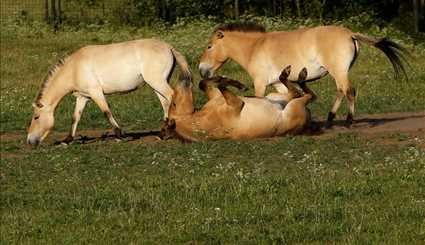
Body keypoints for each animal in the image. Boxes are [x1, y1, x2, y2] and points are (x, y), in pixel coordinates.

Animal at [26, 38, 190, 145]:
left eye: (36, 117)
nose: (29, 141)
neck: (74, 68)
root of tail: (168, 47)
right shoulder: (83, 97)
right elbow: (75, 118)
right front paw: (67, 140)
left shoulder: (96, 93)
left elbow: (106, 112)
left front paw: (120, 135)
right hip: (156, 84)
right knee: (165, 103)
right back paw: (163, 134)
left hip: (157, 82)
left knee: (171, 97)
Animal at [160, 65, 312, 142]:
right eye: (174, 104)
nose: (183, 76)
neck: (203, 118)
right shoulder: (237, 104)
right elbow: (221, 86)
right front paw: (233, 83)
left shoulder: (216, 96)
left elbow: (204, 83)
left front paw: (225, 79)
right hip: (294, 105)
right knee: (306, 95)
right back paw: (299, 76)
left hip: (275, 96)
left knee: (295, 92)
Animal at [198, 22, 408, 127]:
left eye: (209, 46)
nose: (201, 69)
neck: (255, 48)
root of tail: (350, 34)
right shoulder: (278, 84)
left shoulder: (260, 83)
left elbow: (259, 99)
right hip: (338, 73)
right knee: (341, 91)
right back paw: (330, 120)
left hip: (338, 71)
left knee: (349, 90)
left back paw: (348, 122)